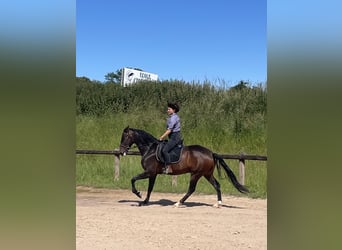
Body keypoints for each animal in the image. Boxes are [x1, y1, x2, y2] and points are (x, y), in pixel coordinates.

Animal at [119, 127, 247, 207]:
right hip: (207, 174)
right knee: (217, 185)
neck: (150, 149)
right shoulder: (153, 174)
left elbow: (133, 179)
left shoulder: (149, 172)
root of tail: (211, 153)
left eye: (125, 137)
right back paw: (218, 203)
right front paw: (145, 201)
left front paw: (138, 194)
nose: (121, 151)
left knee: (191, 189)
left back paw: (179, 203)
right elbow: (150, 188)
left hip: (196, 174)